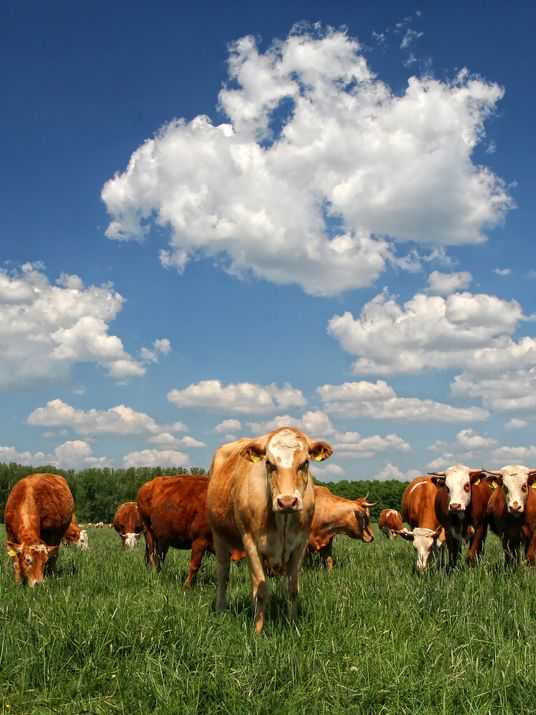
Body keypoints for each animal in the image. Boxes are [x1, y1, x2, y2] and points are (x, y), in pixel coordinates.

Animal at [207, 427, 333, 633]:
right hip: (219, 535)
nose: (287, 501)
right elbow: (262, 590)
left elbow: (291, 588)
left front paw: (293, 625)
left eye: (305, 462)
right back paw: (220, 608)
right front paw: (257, 630)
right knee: (223, 573)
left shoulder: (301, 544)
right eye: (269, 463)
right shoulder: (250, 541)